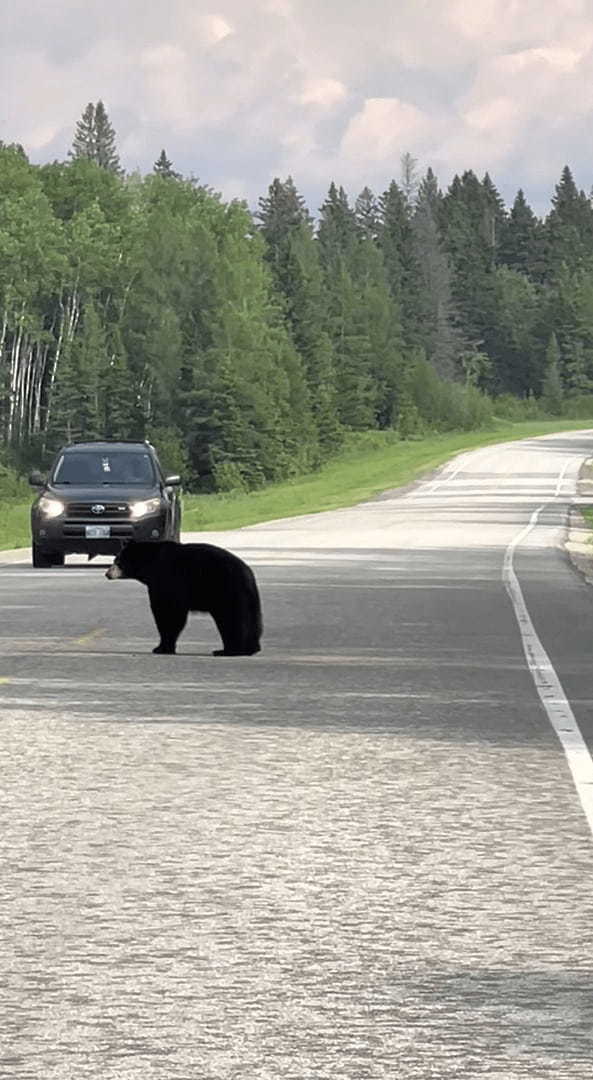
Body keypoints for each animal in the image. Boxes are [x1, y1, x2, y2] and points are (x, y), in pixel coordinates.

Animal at [105, 540, 261, 656]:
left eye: (117, 561)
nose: (107, 574)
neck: (151, 564)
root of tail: (248, 574)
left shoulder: (168, 579)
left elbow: (168, 611)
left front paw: (161, 648)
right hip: (247, 597)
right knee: (251, 619)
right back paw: (250, 648)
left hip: (226, 591)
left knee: (231, 619)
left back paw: (229, 650)